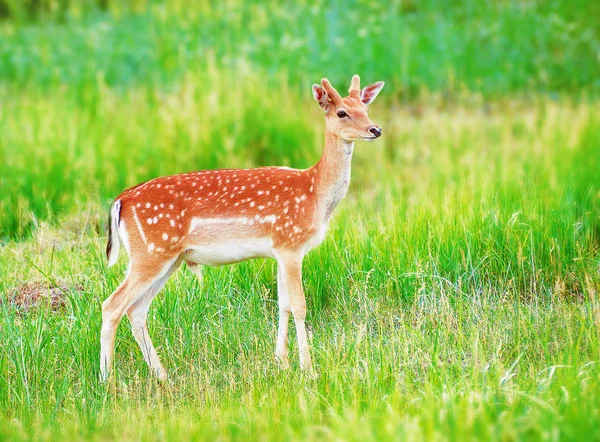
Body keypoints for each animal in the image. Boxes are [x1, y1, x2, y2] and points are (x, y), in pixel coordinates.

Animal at [101, 73, 384, 380]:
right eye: (342, 112)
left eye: (365, 108)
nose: (375, 129)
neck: (314, 193)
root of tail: (121, 201)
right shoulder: (291, 243)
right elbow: (299, 305)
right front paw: (308, 369)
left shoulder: (279, 250)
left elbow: (283, 303)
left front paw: (281, 362)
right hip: (151, 252)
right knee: (112, 305)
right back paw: (107, 379)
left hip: (168, 258)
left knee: (137, 309)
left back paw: (161, 375)